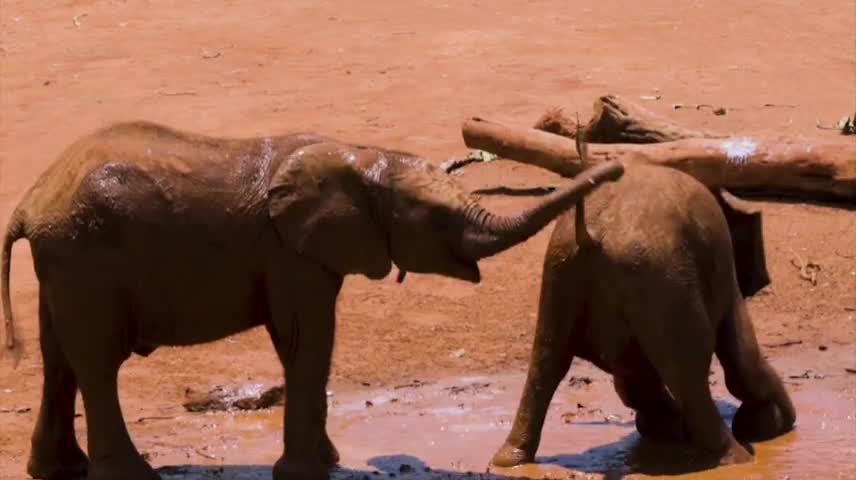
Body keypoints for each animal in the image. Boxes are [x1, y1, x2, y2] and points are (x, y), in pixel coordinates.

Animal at [3, 120, 624, 480]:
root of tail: (30, 202)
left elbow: (305, 343)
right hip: (86, 258)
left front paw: (326, 463)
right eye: (436, 216)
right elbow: (307, 339)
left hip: (67, 262)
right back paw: (132, 477)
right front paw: (309, 473)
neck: (363, 157)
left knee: (60, 359)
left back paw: (58, 470)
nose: (615, 167)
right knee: (96, 362)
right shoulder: (289, 252)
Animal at [492, 163, 800, 470]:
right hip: (659, 276)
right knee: (690, 371)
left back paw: (509, 460)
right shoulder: (721, 271)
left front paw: (666, 427)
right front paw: (768, 425)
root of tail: (591, 232)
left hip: (563, 269)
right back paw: (736, 458)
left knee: (546, 361)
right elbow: (742, 358)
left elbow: (632, 378)